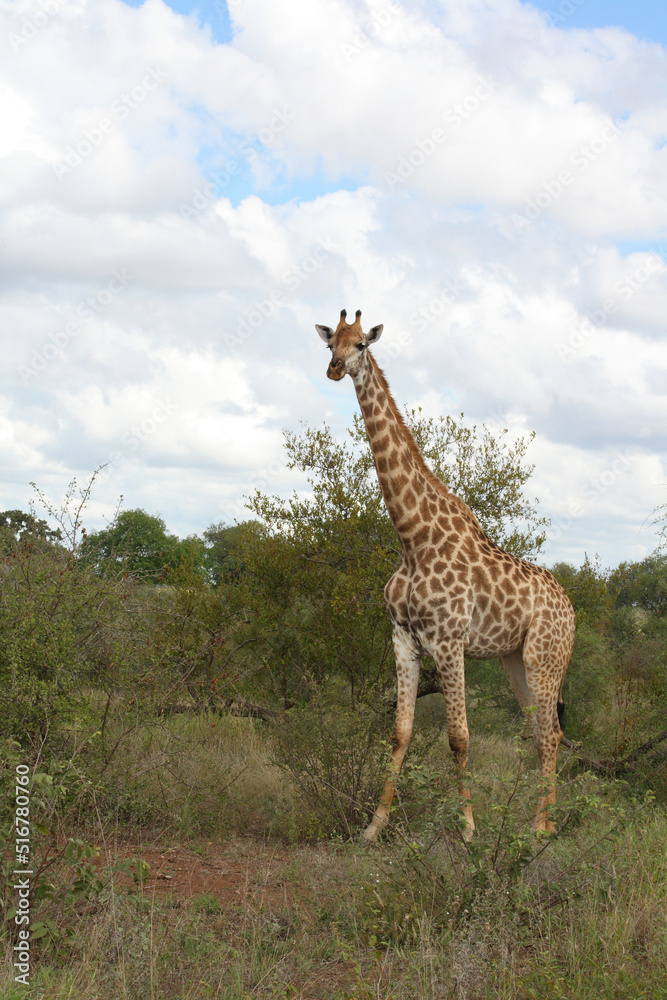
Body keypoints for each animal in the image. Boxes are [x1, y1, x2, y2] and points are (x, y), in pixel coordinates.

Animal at [315, 309, 576, 842]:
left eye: (361, 345)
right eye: (330, 343)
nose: (333, 369)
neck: (412, 538)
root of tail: (574, 610)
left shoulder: (450, 641)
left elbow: (458, 737)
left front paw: (468, 830)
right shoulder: (402, 636)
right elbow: (401, 731)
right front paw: (373, 828)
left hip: (546, 659)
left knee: (551, 733)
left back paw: (540, 828)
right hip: (514, 660)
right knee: (543, 732)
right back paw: (538, 823)